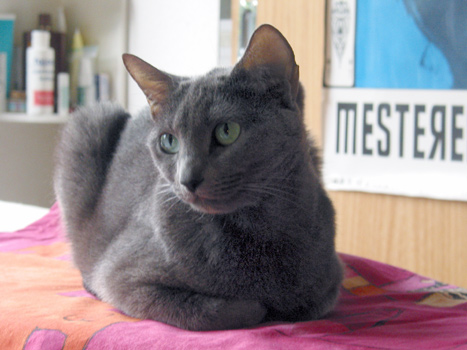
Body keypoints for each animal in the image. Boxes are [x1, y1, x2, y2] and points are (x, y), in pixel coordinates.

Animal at [55, 25, 344, 330]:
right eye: (168, 141)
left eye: (227, 131)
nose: (187, 179)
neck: (258, 230)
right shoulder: (121, 276)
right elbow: (224, 310)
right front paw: (260, 306)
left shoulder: (330, 281)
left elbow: (311, 303)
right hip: (90, 121)